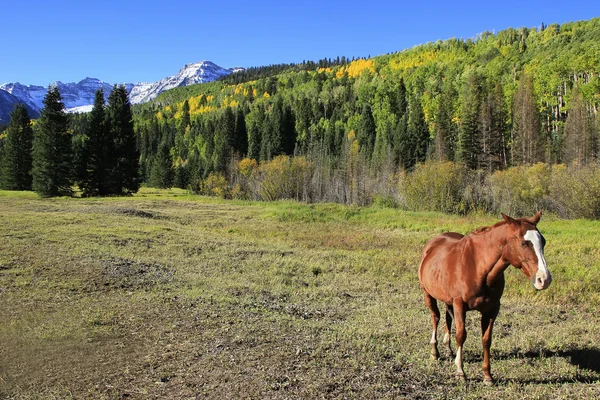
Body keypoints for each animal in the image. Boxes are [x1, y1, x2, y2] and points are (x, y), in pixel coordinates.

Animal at [418, 212, 552, 384]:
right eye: (524, 243)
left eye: (543, 241)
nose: (544, 279)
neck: (478, 266)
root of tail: (432, 244)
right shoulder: (460, 304)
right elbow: (461, 335)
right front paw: (460, 371)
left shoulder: (492, 309)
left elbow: (486, 339)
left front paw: (487, 375)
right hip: (428, 294)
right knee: (436, 317)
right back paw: (435, 351)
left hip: (448, 300)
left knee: (448, 319)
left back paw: (448, 349)